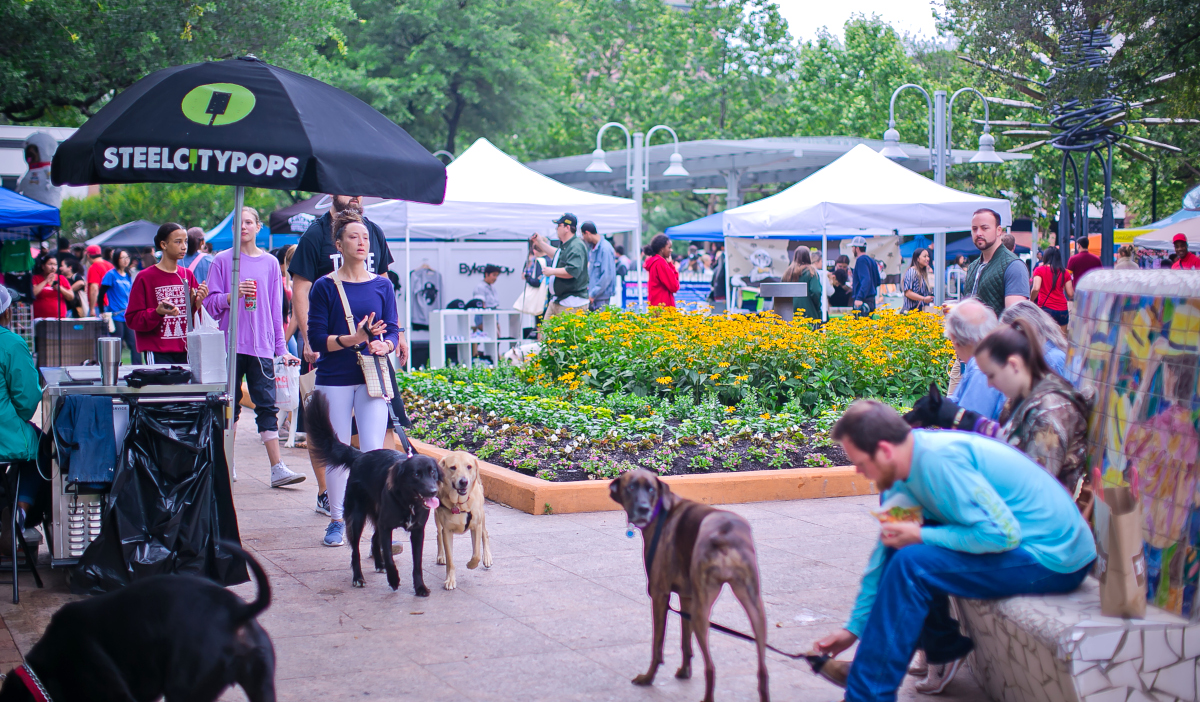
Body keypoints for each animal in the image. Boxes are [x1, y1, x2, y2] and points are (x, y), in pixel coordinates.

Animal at [307, 391, 444, 595]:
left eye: (433, 472)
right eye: (416, 474)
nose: (433, 491)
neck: (408, 502)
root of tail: (360, 455)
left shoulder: (418, 531)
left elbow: (417, 564)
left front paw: (420, 587)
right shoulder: (386, 526)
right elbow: (389, 556)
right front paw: (393, 579)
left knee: (374, 538)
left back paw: (379, 565)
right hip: (357, 518)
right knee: (356, 551)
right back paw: (358, 577)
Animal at [609, 468, 768, 696]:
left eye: (650, 488)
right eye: (630, 487)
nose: (643, 508)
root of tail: (725, 531)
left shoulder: (659, 596)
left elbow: (657, 645)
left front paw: (648, 677)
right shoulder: (687, 597)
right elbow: (685, 641)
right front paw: (685, 671)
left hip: (703, 610)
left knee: (711, 668)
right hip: (754, 608)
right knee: (762, 671)